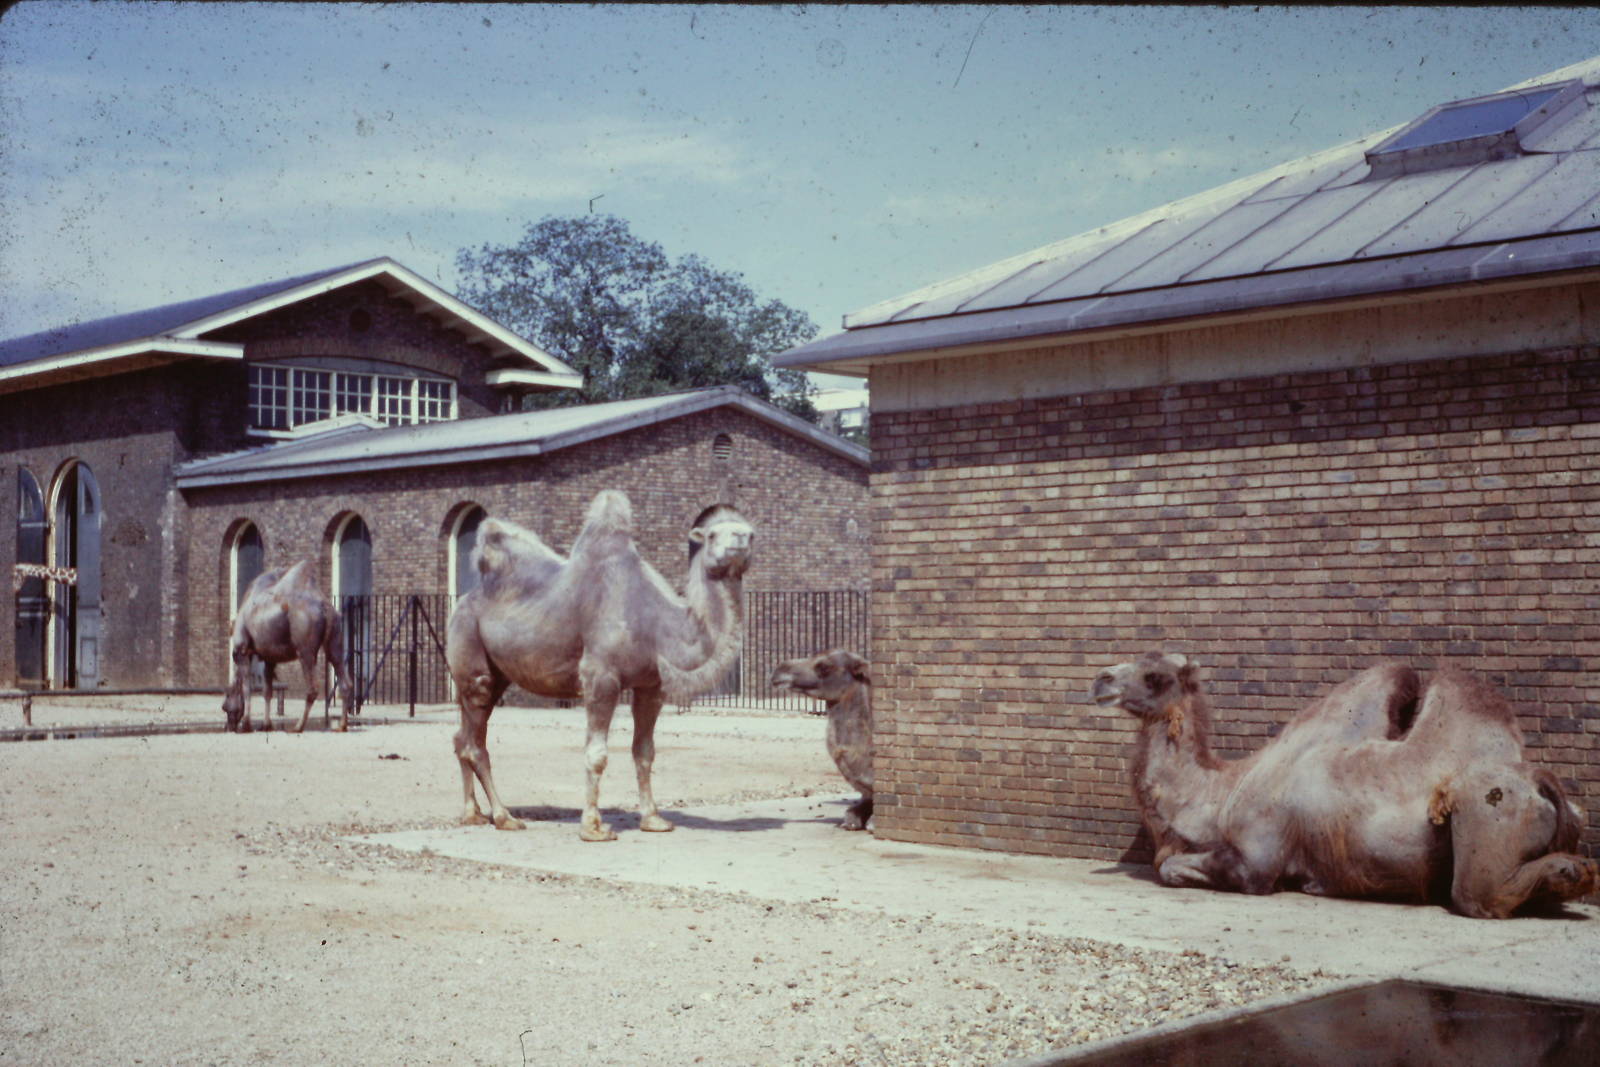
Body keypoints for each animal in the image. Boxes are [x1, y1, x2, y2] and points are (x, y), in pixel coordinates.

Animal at [222, 561, 354, 734]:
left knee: (312, 688)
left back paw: (298, 726)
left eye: (225, 707)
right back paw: (342, 725)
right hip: (335, 643)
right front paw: (266, 725)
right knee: (345, 681)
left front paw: (246, 725)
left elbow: (247, 688)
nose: (228, 727)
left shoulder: (242, 650)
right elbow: (267, 691)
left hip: (305, 650)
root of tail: (325, 608)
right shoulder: (269, 657)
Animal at [445, 490, 753, 840]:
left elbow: (644, 752)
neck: (657, 624)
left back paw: (472, 814)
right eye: (713, 535)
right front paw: (593, 827)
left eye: (751, 533)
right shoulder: (600, 677)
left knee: (463, 737)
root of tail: (463, 602)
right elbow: (597, 755)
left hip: (494, 676)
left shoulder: (651, 686)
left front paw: (654, 820)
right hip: (471, 653)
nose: (741, 538)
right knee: (475, 742)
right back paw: (504, 817)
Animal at [1090, 652, 1597, 918]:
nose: (1100, 679)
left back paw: (1568, 871)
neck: (1219, 793)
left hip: (1488, 809)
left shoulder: (1258, 858)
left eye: (1155, 676)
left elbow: (1171, 868)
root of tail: (1542, 783)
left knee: (1478, 895)